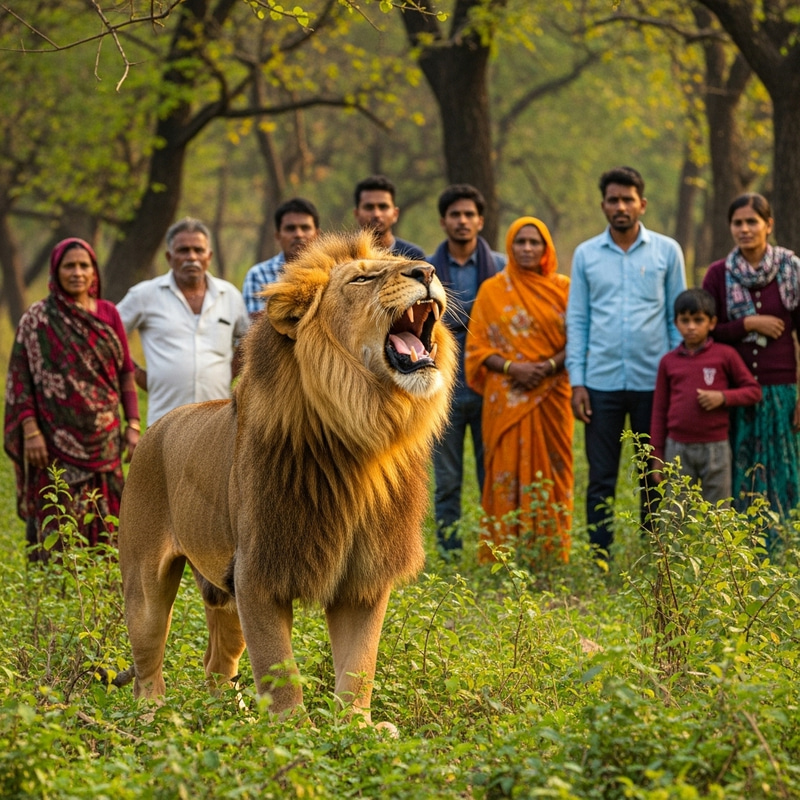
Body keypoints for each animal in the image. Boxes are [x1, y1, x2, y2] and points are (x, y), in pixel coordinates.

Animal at [116, 231, 456, 725]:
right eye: (363, 278)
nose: (427, 272)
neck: (363, 434)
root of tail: (157, 425)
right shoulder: (258, 572)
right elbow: (278, 666)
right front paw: (292, 731)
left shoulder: (365, 577)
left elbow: (360, 666)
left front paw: (356, 728)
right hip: (146, 585)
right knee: (147, 665)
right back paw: (154, 720)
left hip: (225, 593)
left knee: (217, 663)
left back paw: (228, 720)